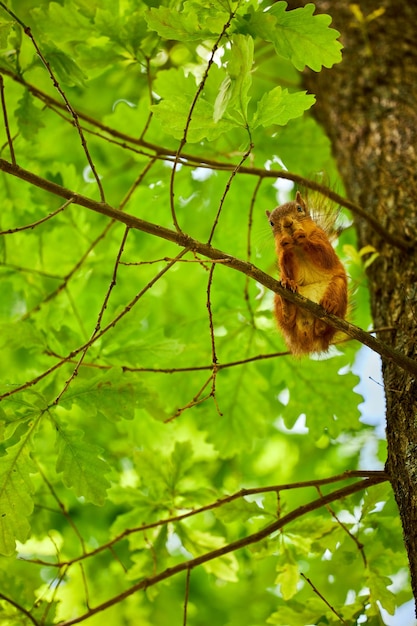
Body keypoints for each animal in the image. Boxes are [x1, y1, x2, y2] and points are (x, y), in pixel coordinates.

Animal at [266, 190, 348, 354]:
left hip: (339, 287)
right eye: (271, 223)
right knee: (288, 319)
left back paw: (329, 307)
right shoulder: (279, 253)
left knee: (322, 329)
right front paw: (286, 244)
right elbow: (286, 268)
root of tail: (306, 335)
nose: (287, 223)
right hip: (278, 297)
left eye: (299, 209)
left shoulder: (321, 238)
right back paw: (288, 301)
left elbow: (325, 255)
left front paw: (302, 236)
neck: (297, 247)